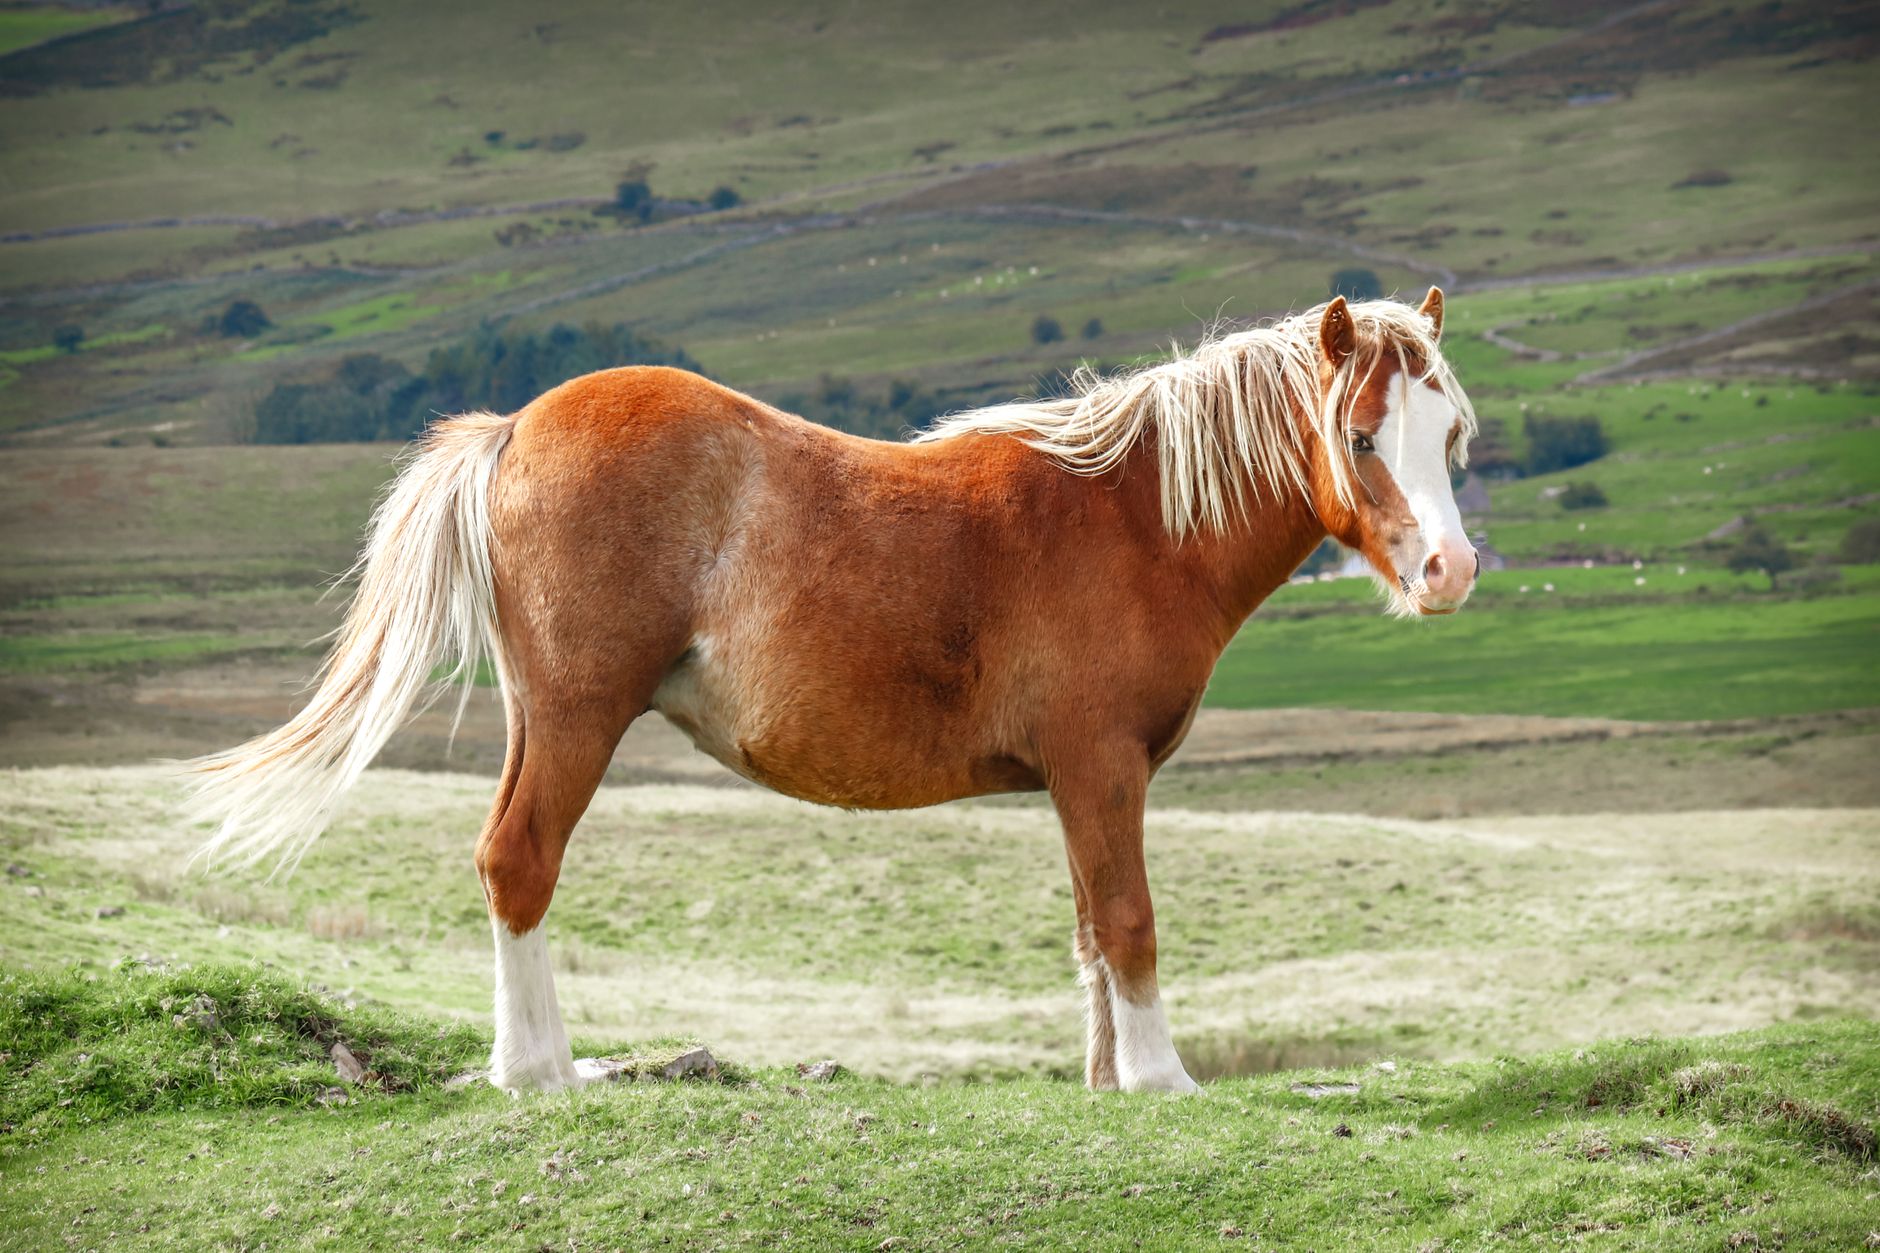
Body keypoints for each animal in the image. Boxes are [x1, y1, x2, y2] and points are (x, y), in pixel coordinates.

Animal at [186, 288, 1479, 1095]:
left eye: (1451, 434)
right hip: (571, 717)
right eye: (1362, 436)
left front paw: (1108, 1079)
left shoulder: (1077, 783)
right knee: (519, 861)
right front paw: (1162, 1078)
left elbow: (1088, 932)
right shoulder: (1102, 766)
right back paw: (540, 1072)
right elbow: (1128, 920)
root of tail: (513, 425)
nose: (1448, 570)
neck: (1132, 517)